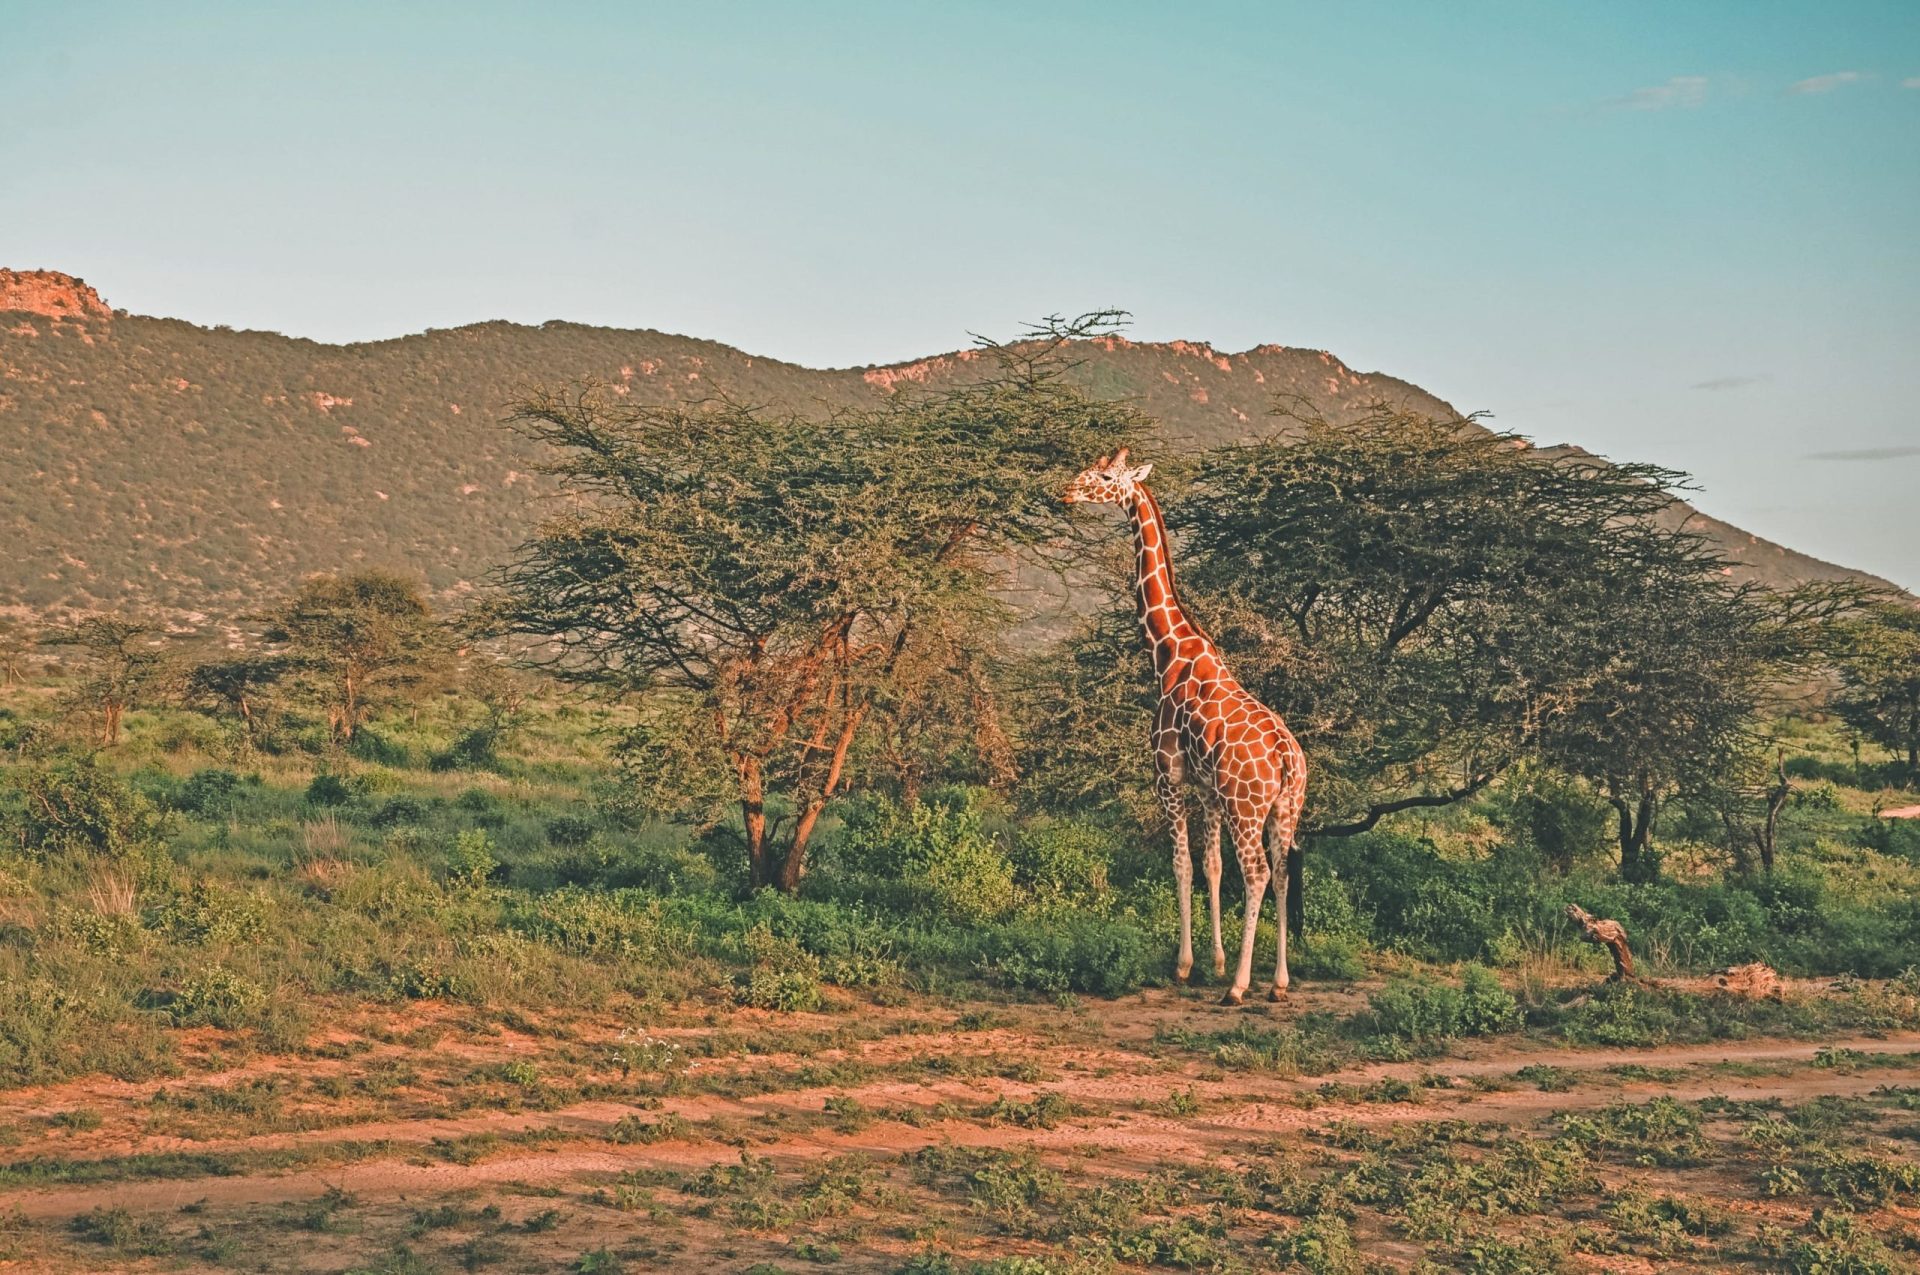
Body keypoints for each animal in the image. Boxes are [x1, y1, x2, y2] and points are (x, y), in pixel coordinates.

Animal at [1059, 447, 1313, 1006]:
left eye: (1104, 476)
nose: (1066, 492)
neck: (1168, 651)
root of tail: (1288, 757)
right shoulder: (1208, 792)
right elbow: (1212, 868)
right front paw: (1215, 961)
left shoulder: (1168, 779)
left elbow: (1182, 865)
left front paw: (1186, 965)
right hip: (1286, 807)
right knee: (1284, 872)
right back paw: (1279, 983)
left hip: (1247, 807)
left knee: (1258, 873)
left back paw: (1240, 987)